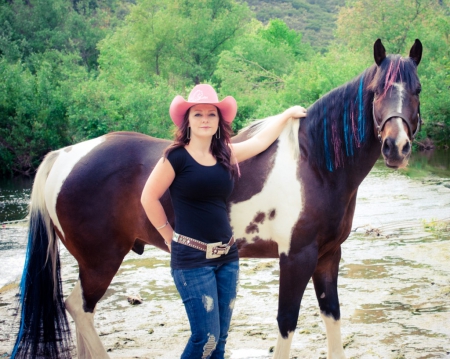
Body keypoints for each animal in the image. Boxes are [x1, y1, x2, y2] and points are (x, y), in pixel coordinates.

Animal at [12, 39, 424, 359]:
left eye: (417, 89)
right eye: (378, 90)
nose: (397, 147)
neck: (314, 162)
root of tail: (63, 155)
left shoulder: (328, 256)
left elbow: (333, 319)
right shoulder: (296, 258)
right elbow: (286, 322)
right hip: (100, 262)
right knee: (79, 309)